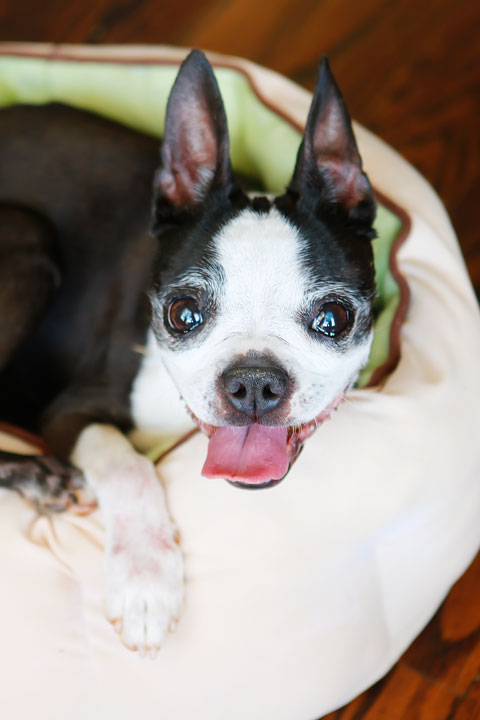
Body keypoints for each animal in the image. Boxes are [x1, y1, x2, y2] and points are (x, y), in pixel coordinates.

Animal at [0, 50, 376, 656]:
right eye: (183, 313)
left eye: (333, 318)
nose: (254, 382)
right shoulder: (71, 411)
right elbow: (126, 465)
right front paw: (145, 580)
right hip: (29, 237)